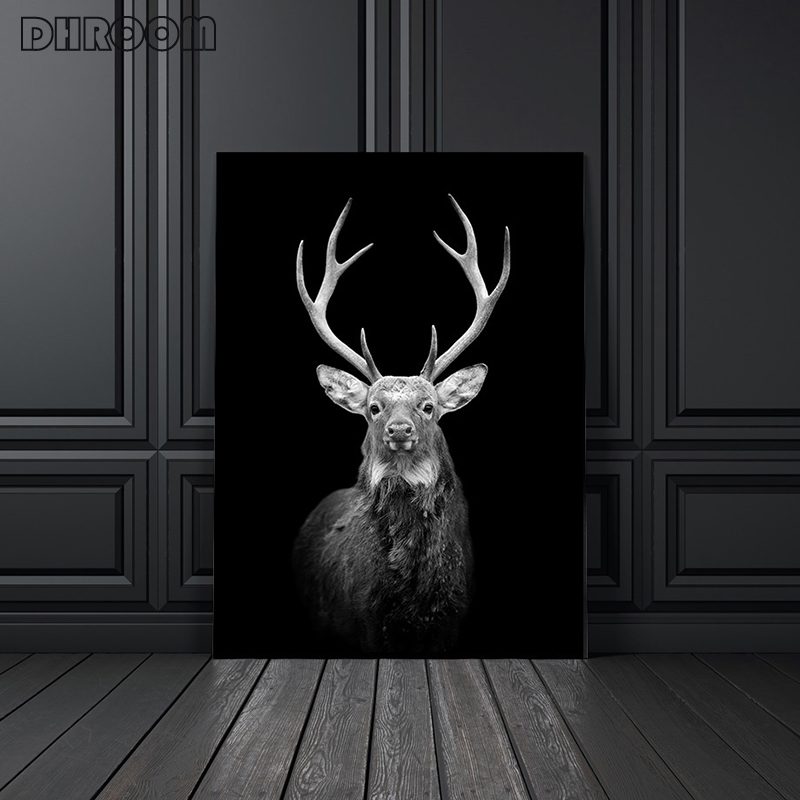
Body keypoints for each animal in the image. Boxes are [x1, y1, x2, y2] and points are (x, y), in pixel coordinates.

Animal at [292, 195, 510, 655]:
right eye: (374, 407)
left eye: (428, 406)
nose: (399, 430)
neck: (415, 596)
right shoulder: (363, 620)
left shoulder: (453, 619)